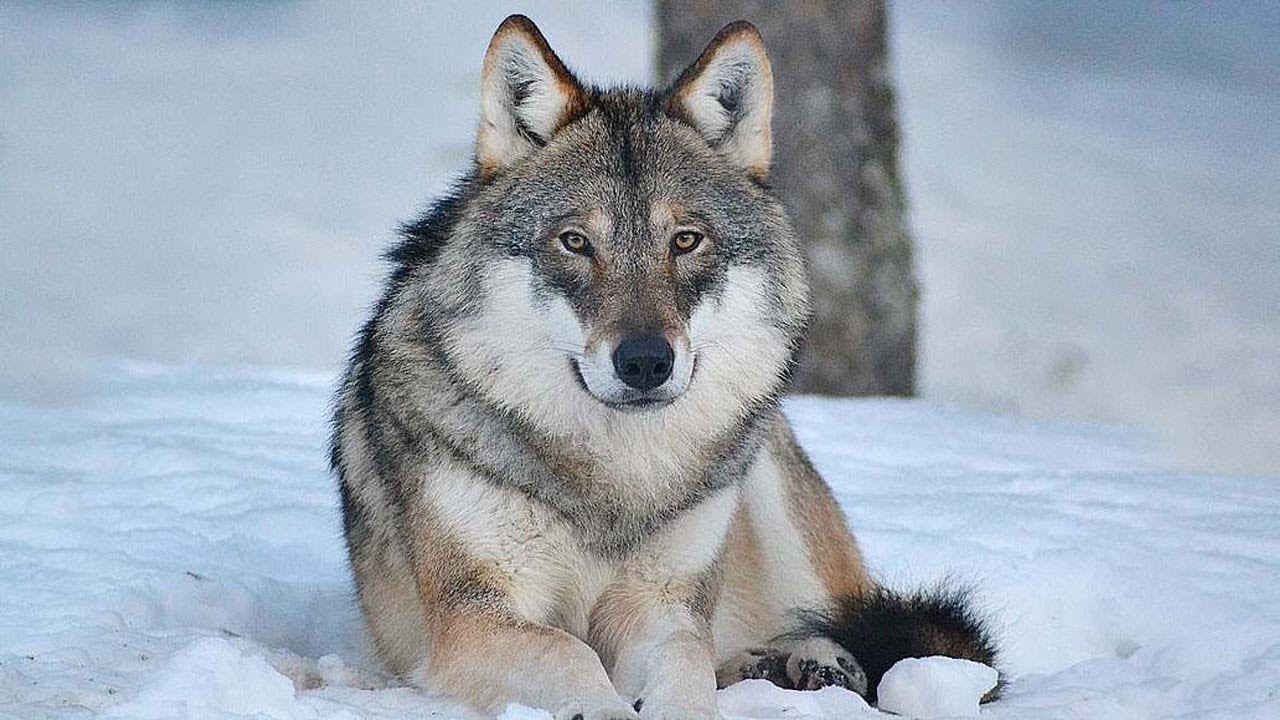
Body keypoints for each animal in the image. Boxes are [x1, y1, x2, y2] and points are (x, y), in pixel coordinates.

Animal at [331, 15, 997, 720]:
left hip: (770, 480)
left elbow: (685, 664)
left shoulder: (661, 607)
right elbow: (570, 653)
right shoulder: (473, 617)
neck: (614, 480)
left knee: (836, 624)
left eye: (685, 240)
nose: (647, 360)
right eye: (575, 242)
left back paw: (819, 663)